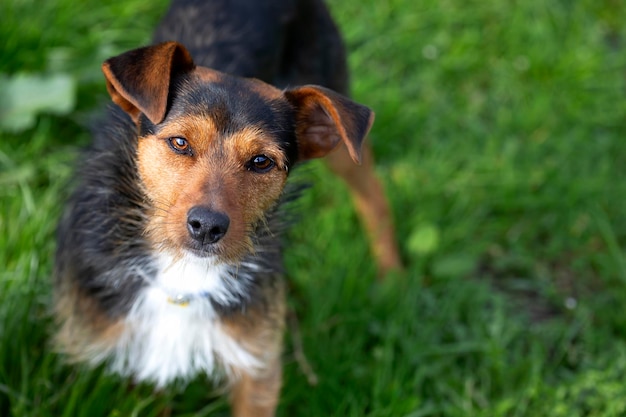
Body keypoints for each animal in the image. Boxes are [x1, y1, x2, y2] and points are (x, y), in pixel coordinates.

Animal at [56, 1, 400, 414]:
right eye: (180, 142)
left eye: (261, 162)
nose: (207, 226)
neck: (182, 277)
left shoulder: (256, 365)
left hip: (344, 142)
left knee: (374, 192)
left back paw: (392, 277)